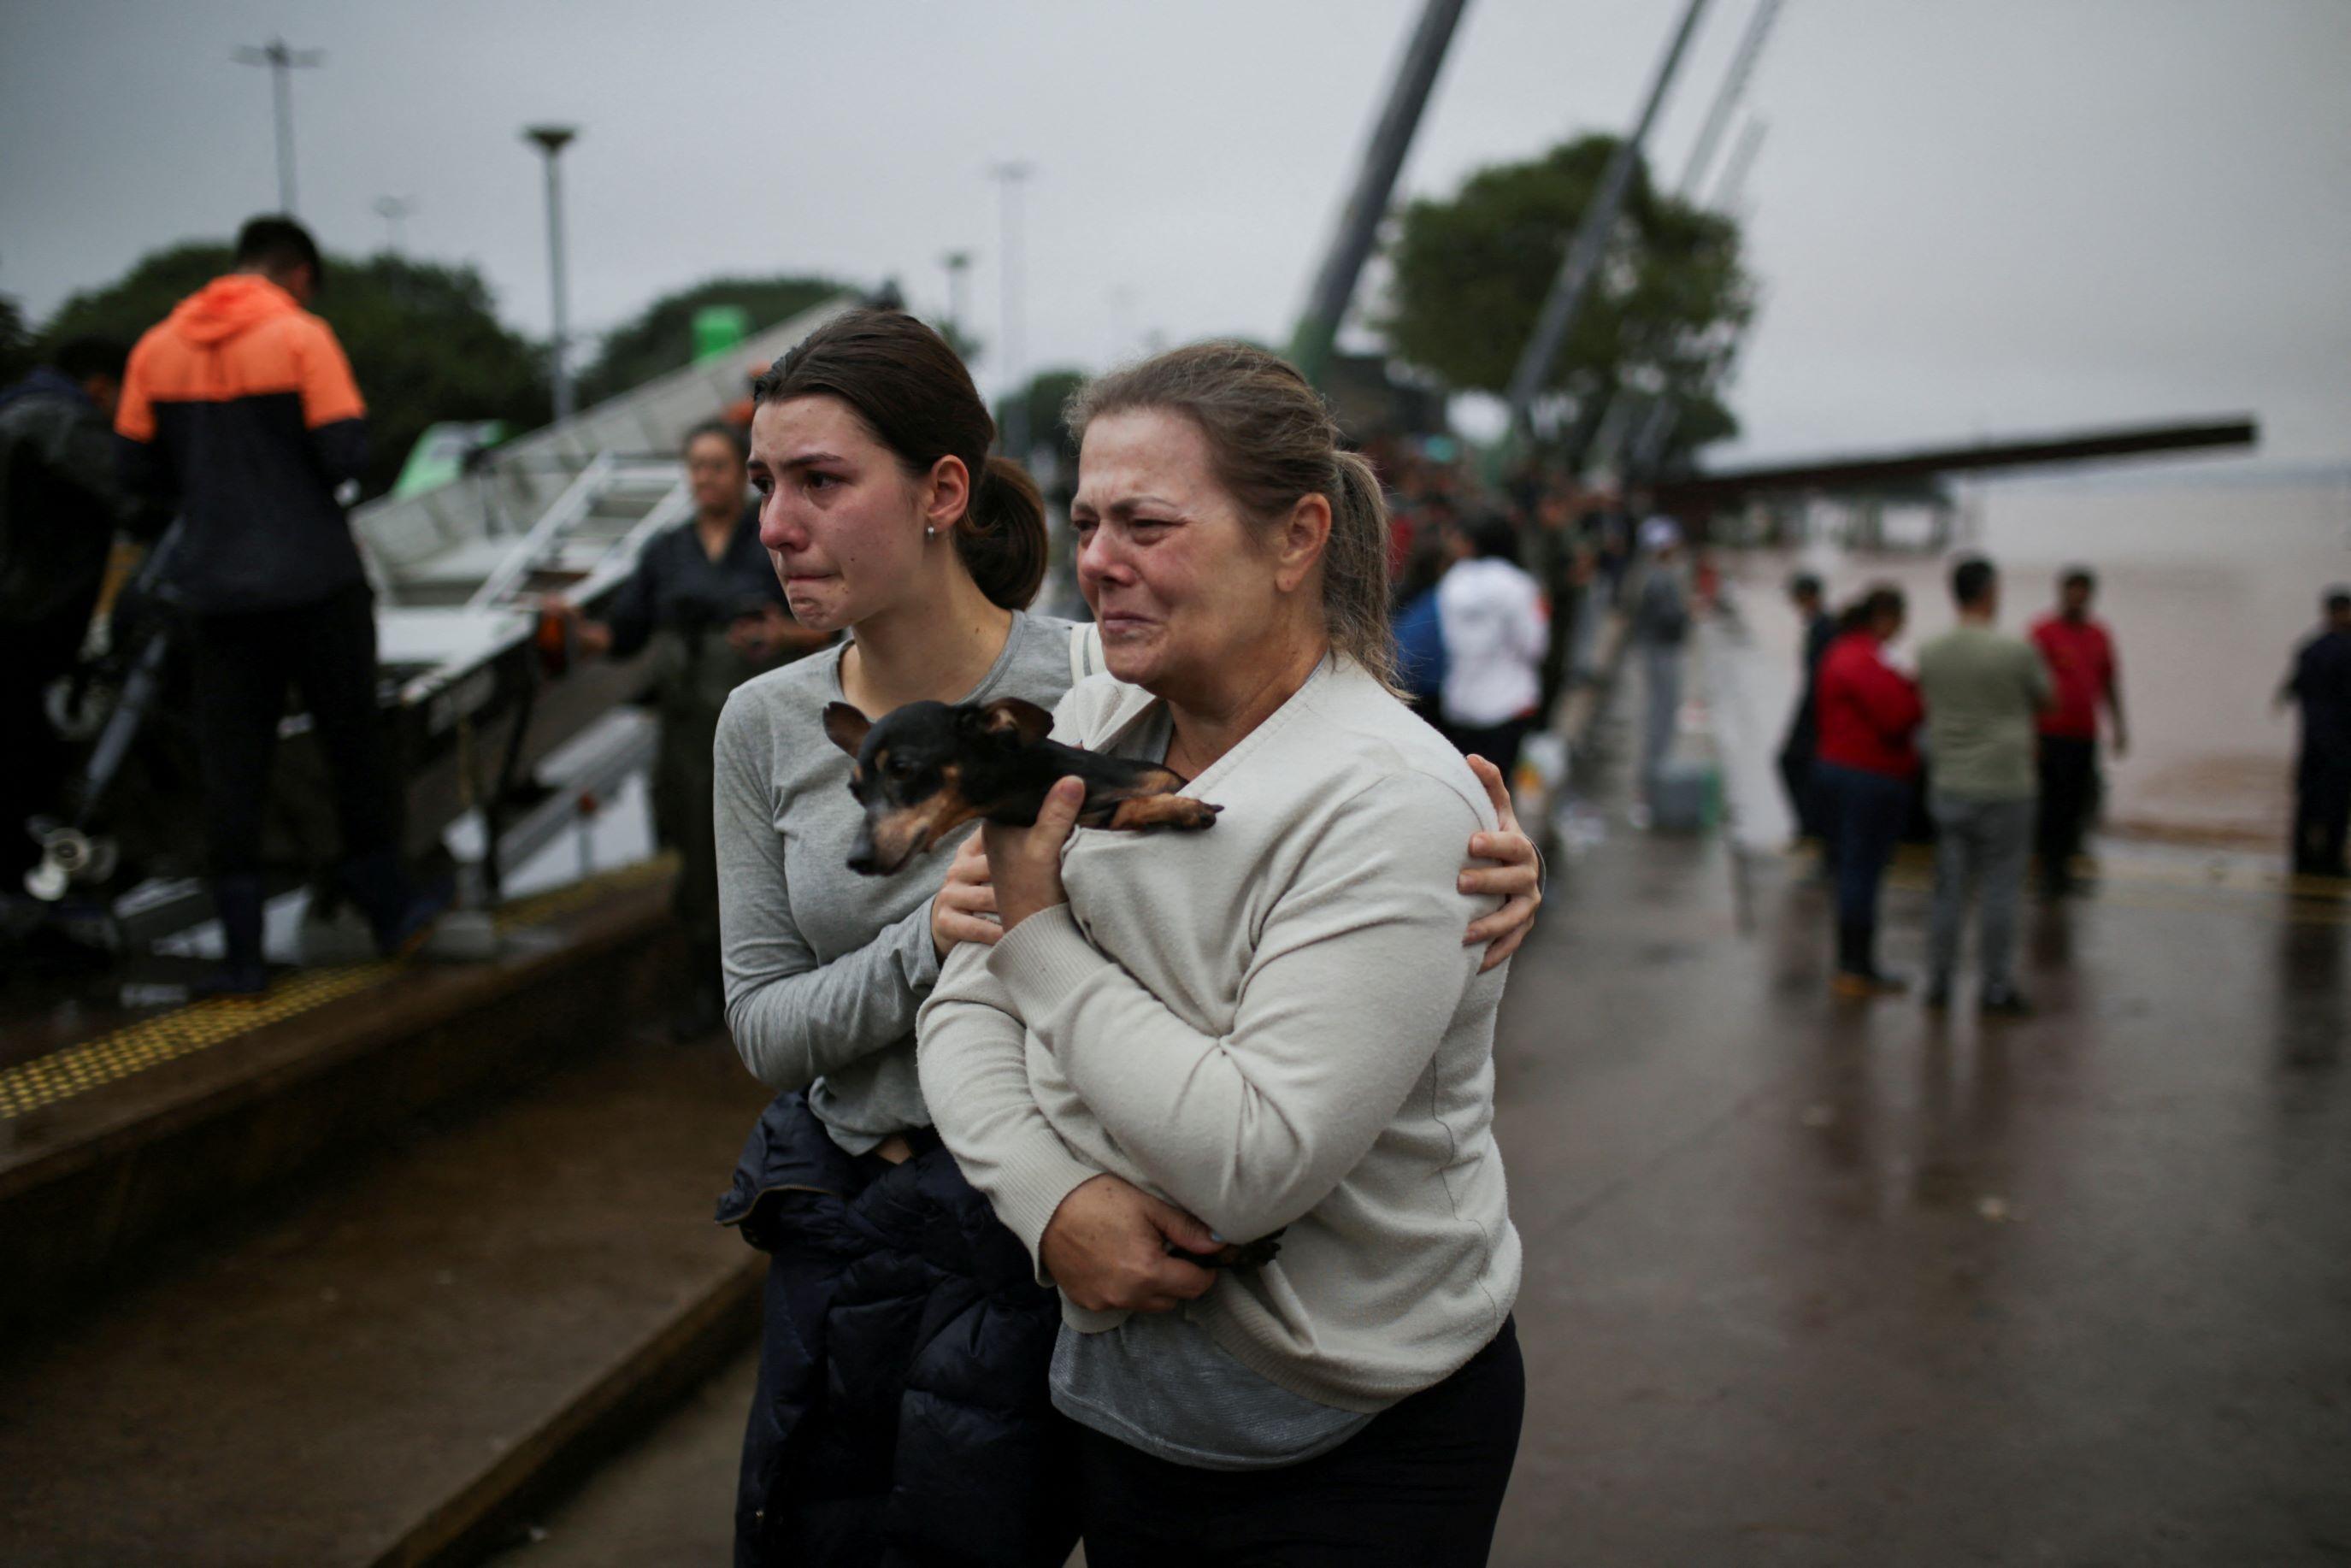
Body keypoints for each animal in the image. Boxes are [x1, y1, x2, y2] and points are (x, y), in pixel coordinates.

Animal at [822, 700, 1223, 879]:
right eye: (855, 791)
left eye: (903, 770)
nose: (856, 860)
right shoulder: (1086, 817)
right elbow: (1125, 809)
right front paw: (1182, 810)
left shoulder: (1161, 779)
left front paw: (1181, 807)